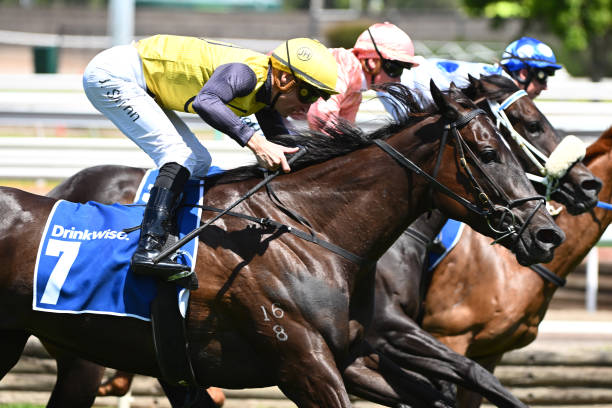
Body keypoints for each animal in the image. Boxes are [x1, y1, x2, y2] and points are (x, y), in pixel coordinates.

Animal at [0, 84, 560, 406]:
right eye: (488, 151)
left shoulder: (351, 357)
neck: (313, 233)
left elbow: (443, 390)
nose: (546, 233)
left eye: (510, 145)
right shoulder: (305, 365)